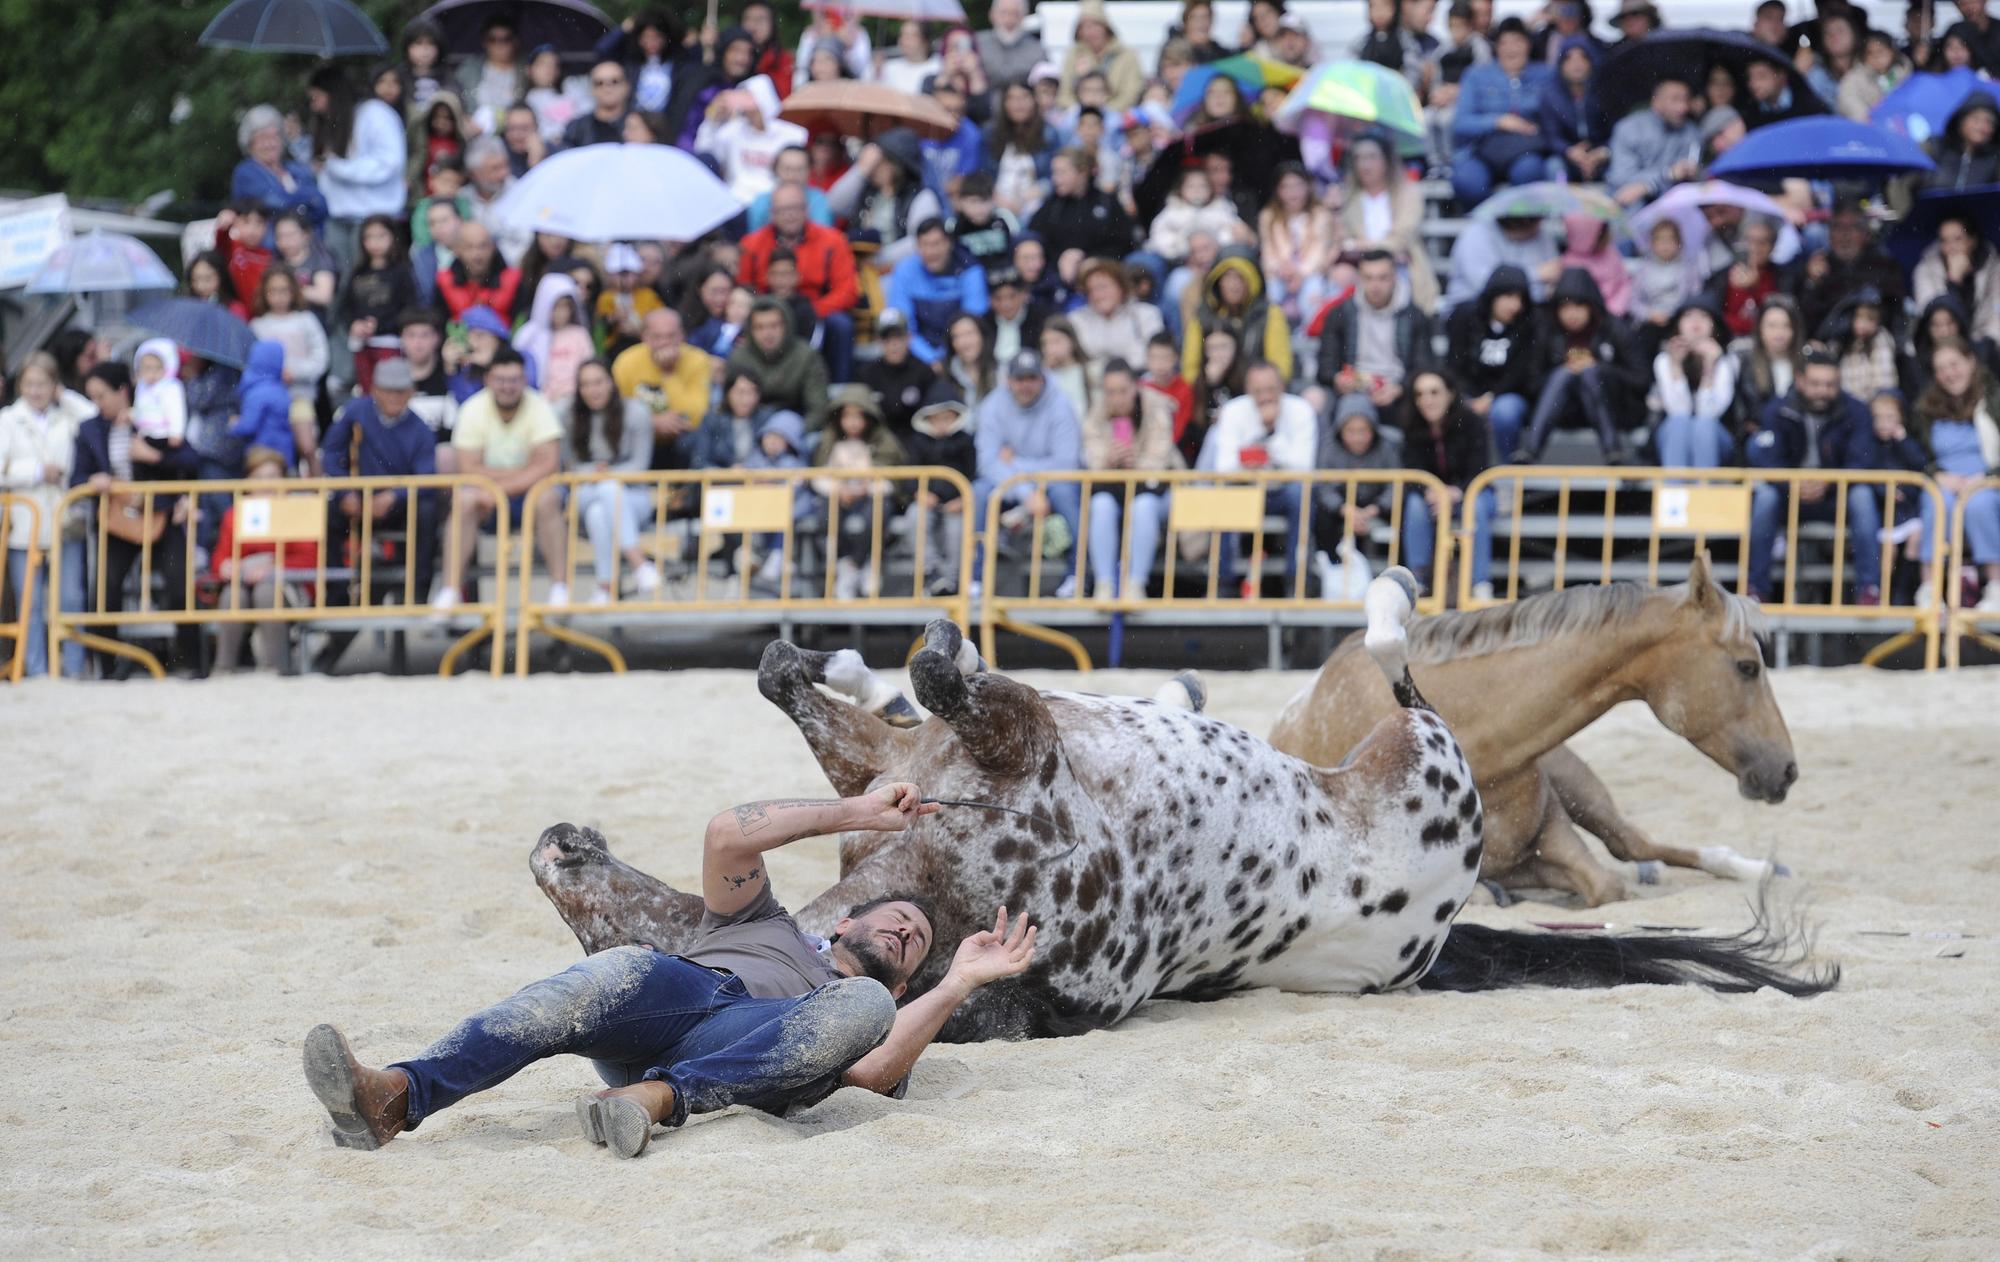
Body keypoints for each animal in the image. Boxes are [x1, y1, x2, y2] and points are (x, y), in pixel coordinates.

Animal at [1272, 556, 1792, 904]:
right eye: (1748, 667)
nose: (1787, 768)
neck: (1485, 751)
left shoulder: (1556, 834)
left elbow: (1607, 883)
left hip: (1579, 782)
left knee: (1632, 844)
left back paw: (1757, 867)